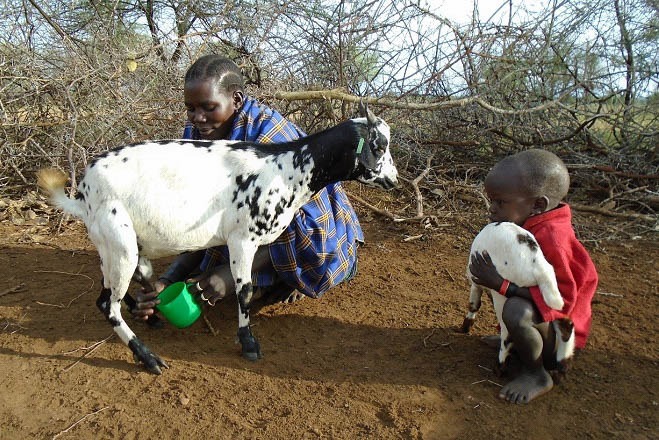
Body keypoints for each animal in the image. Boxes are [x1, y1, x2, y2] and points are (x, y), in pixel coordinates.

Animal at [38, 104, 398, 374]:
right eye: (379, 145)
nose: (394, 180)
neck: (287, 168)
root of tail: (82, 191)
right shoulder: (242, 238)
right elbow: (245, 291)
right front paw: (248, 343)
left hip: (115, 246)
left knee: (124, 287)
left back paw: (150, 316)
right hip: (119, 240)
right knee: (106, 303)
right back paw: (149, 358)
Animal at [462, 222, 576, 376]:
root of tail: (539, 266)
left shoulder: (476, 282)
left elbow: (474, 304)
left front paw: (465, 326)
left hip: (500, 297)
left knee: (507, 333)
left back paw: (500, 366)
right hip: (550, 294)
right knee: (564, 321)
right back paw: (563, 363)